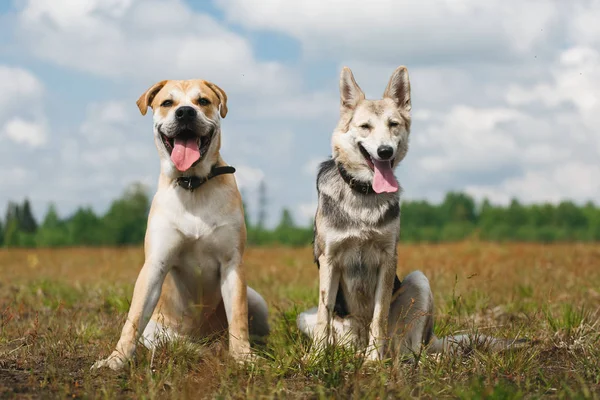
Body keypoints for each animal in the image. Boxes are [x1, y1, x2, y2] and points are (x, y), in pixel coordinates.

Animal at [92, 79, 270, 370]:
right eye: (167, 103)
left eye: (203, 101)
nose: (185, 112)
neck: (192, 185)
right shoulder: (156, 264)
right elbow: (133, 318)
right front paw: (116, 359)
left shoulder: (232, 264)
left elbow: (238, 318)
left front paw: (243, 357)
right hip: (156, 332)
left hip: (257, 299)